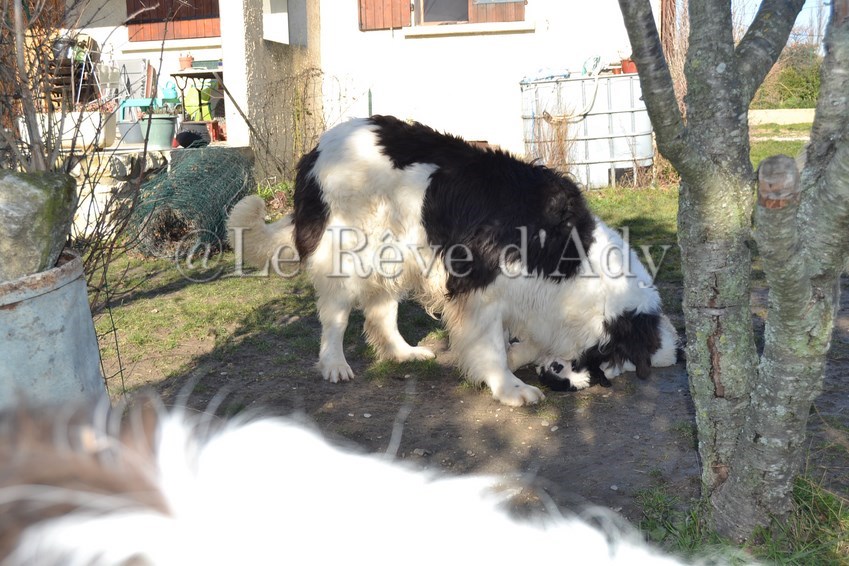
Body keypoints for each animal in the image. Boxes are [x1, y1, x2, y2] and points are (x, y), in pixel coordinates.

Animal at [227, 115, 677, 406]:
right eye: (601, 365)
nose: (558, 379)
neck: (574, 267)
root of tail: (318, 148)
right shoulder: (480, 290)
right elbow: (490, 345)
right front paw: (509, 387)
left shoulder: (531, 301)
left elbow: (524, 339)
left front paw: (517, 360)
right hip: (347, 250)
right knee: (335, 314)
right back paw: (334, 363)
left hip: (395, 253)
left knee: (380, 312)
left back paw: (402, 352)